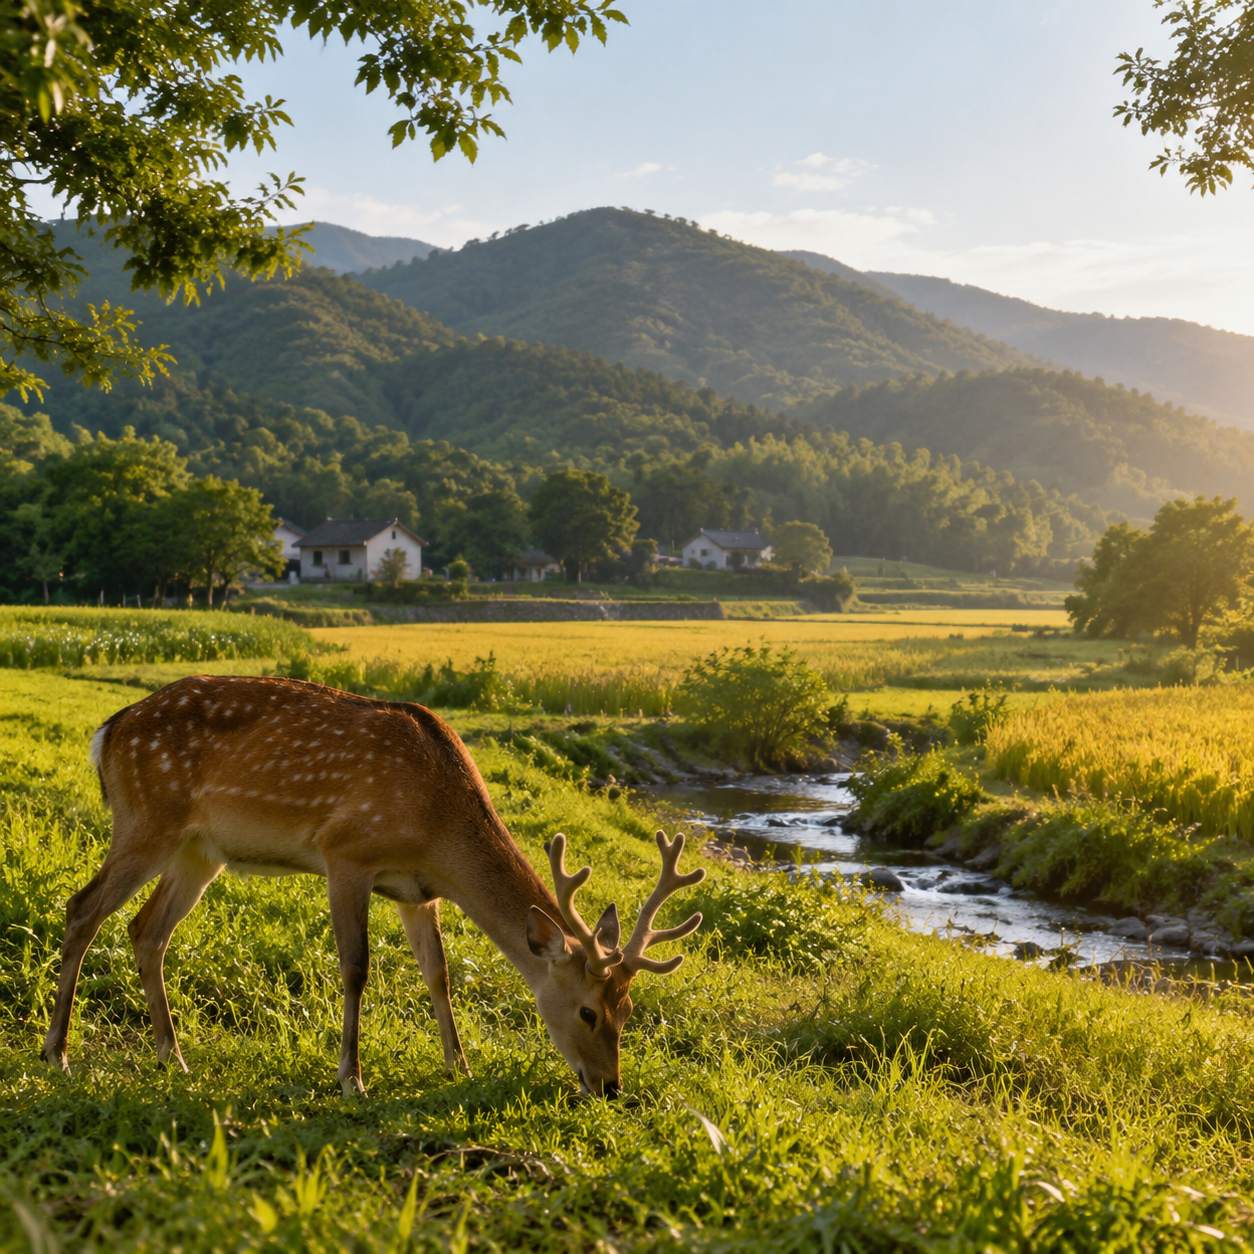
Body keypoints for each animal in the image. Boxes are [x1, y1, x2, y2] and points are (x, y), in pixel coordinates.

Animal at [42, 674, 704, 1097]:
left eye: (630, 1009)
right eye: (589, 1011)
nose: (611, 1087)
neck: (437, 823)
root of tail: (108, 731)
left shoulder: (420, 890)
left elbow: (438, 973)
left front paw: (458, 1066)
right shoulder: (346, 852)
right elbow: (356, 966)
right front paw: (351, 1077)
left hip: (199, 850)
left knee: (146, 930)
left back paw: (172, 1055)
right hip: (147, 817)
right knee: (82, 907)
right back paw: (58, 1051)